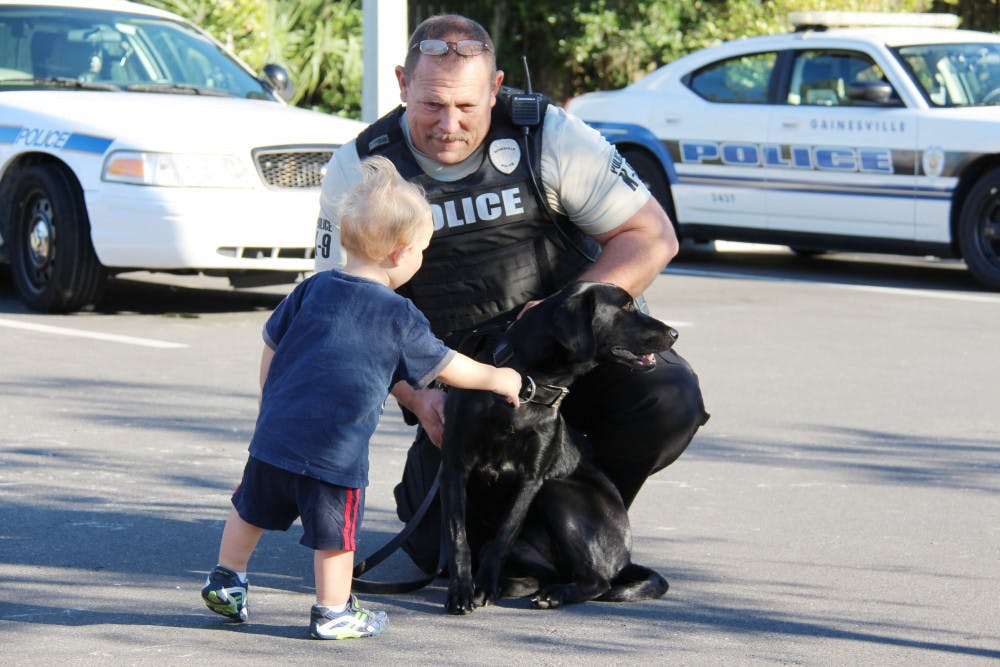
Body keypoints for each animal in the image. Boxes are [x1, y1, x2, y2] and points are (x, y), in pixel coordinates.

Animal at [446, 280, 680, 616]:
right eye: (624, 307)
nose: (675, 333)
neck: (524, 387)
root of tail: (625, 559)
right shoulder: (456, 467)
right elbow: (457, 537)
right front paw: (462, 591)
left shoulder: (532, 478)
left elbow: (504, 533)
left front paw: (484, 586)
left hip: (556, 491)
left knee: (599, 582)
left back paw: (552, 594)